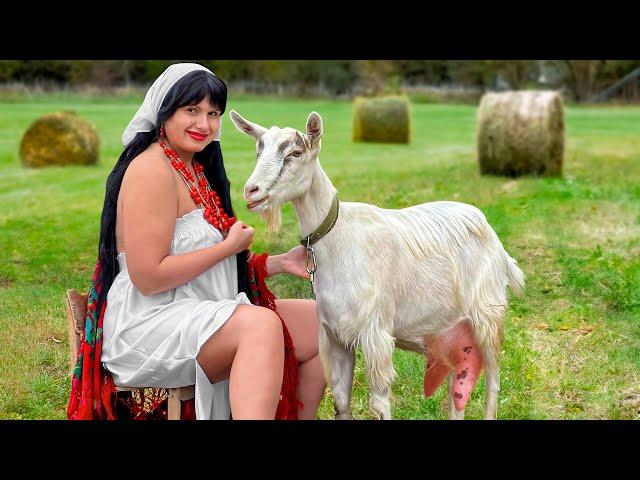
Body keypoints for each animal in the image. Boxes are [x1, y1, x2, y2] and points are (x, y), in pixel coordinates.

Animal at [230, 109, 524, 420]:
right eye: (258, 149)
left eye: (296, 153)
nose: (251, 191)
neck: (339, 238)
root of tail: (493, 238)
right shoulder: (335, 338)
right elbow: (341, 402)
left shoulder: (376, 334)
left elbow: (380, 404)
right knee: (457, 383)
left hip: (488, 313)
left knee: (493, 380)